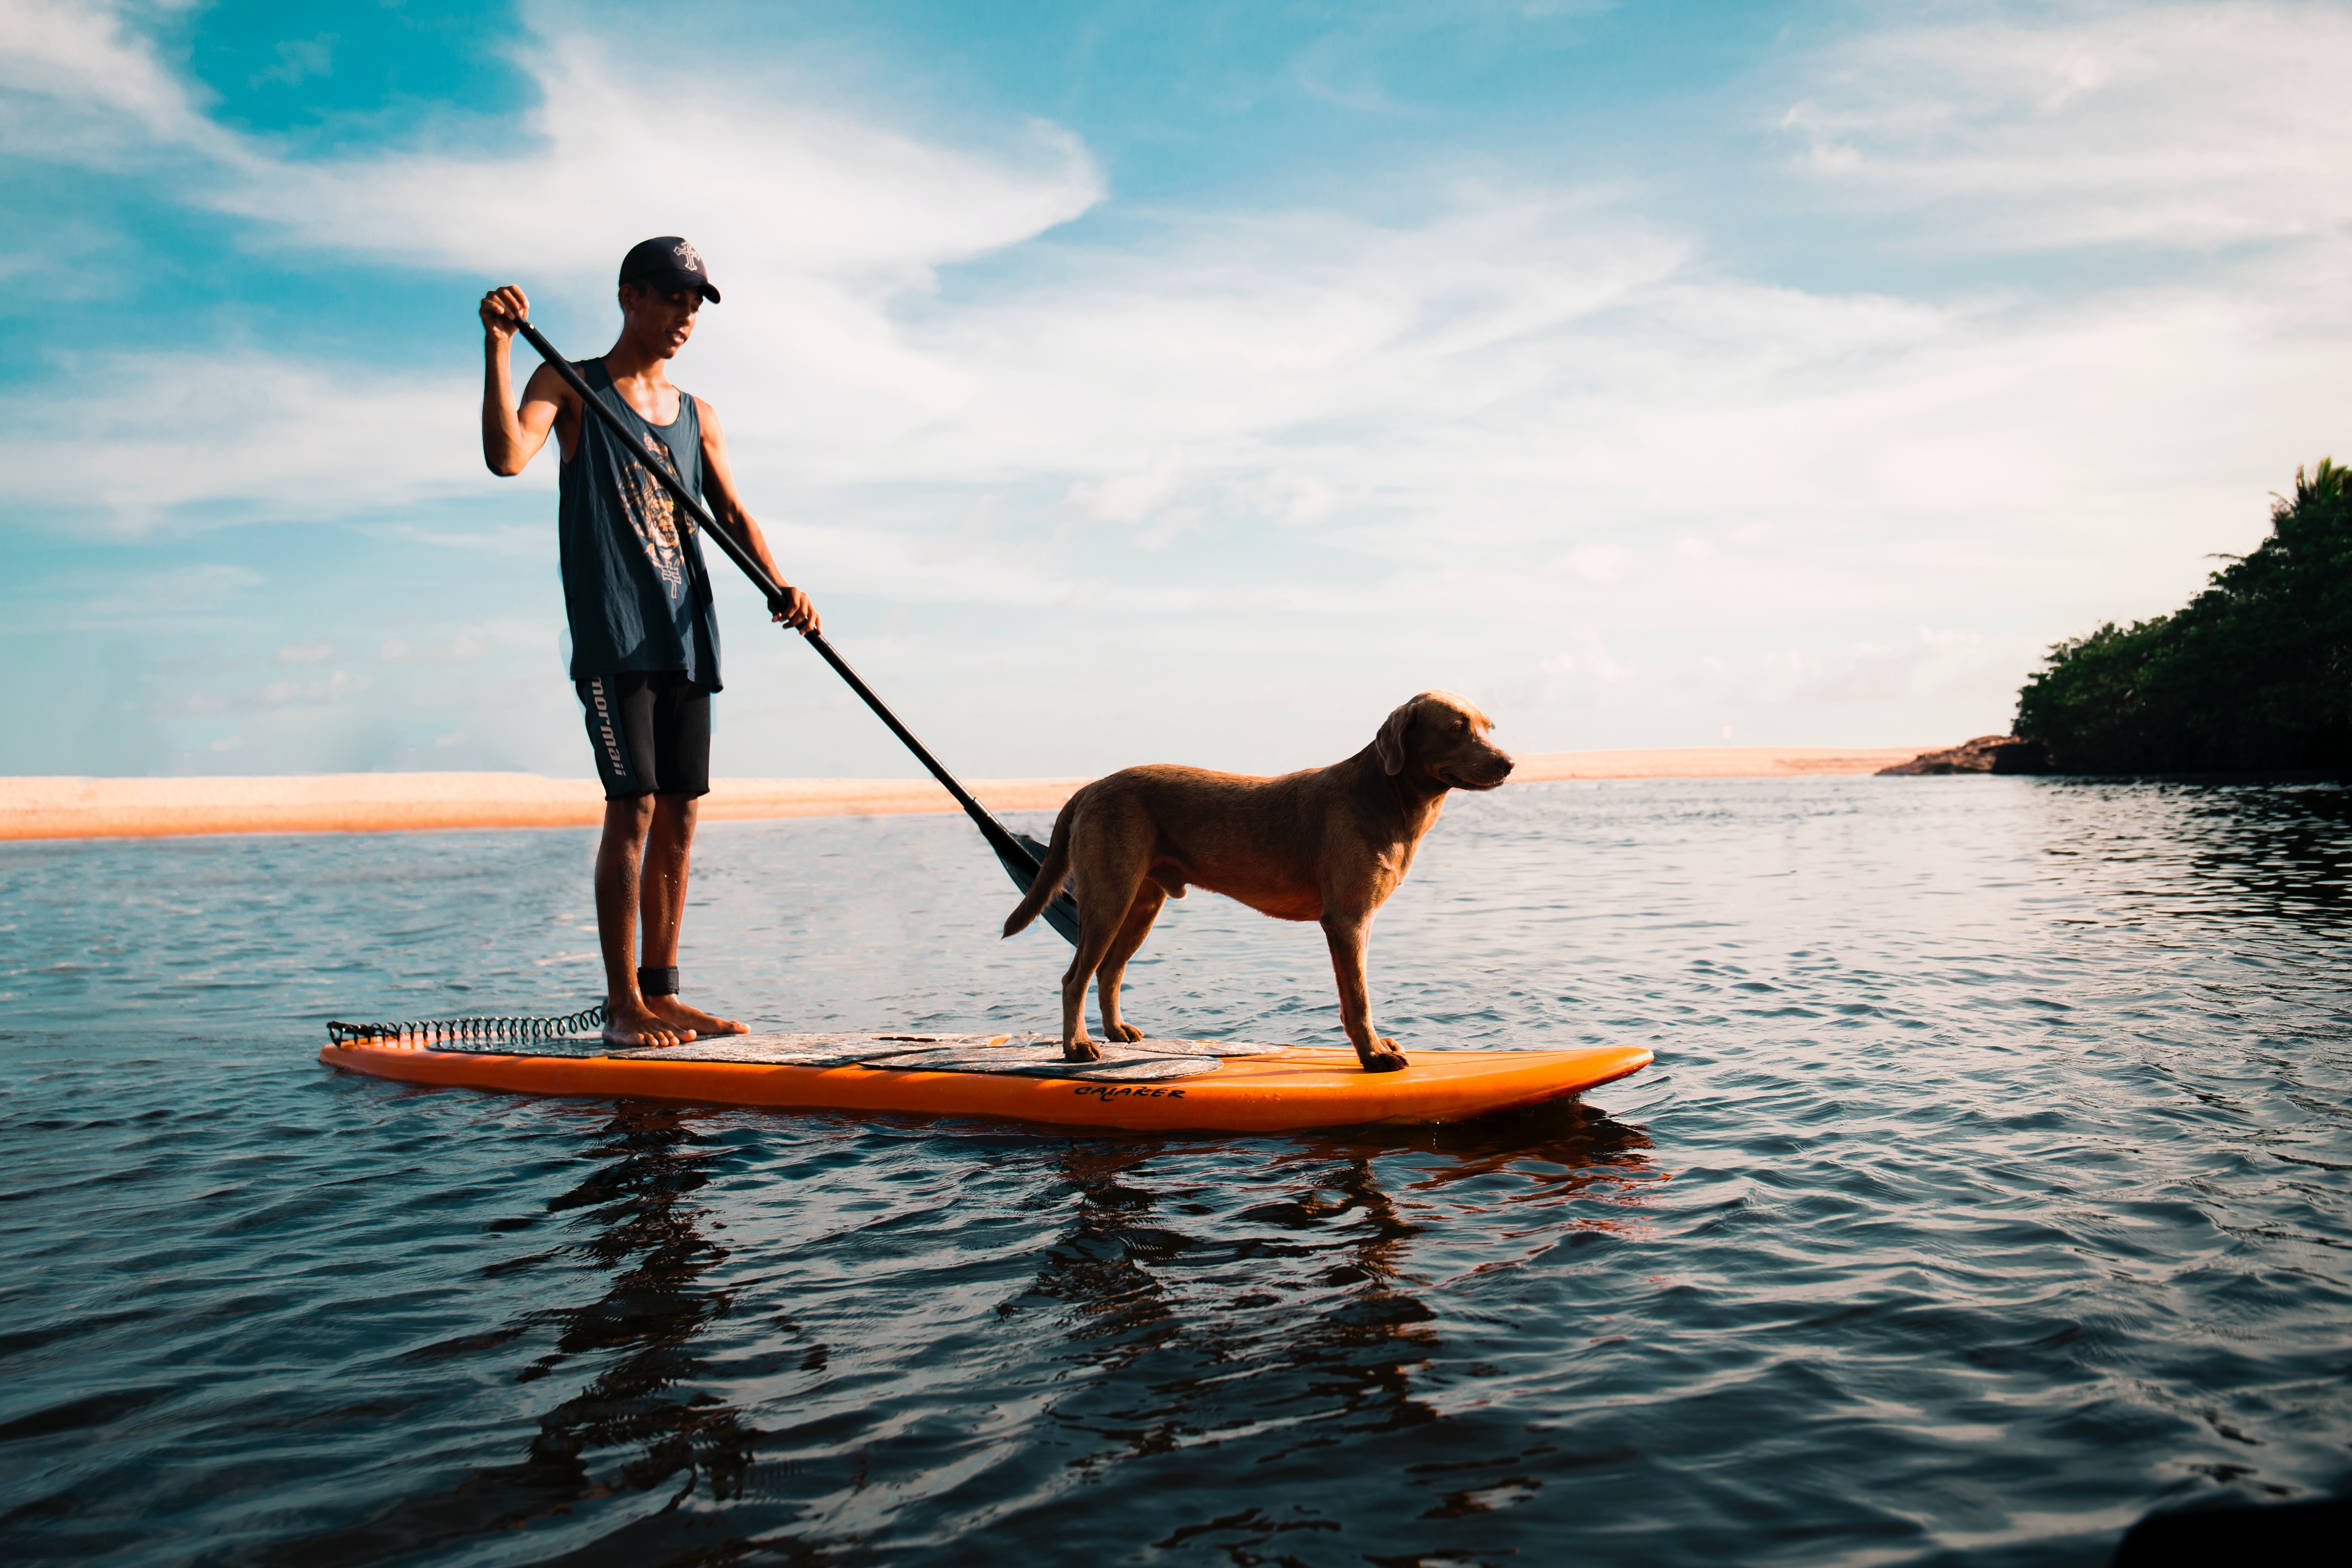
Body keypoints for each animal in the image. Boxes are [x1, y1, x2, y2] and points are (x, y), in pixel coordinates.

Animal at [1001, 691, 1514, 1072]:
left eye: (1488, 727)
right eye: (1456, 728)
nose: (1509, 763)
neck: (1387, 798)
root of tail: (1089, 788)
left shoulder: (1357, 921)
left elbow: (1357, 996)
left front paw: (1377, 1048)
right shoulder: (1347, 919)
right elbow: (1358, 999)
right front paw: (1373, 1056)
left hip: (1142, 903)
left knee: (1109, 971)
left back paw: (1116, 1032)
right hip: (1110, 897)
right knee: (1075, 978)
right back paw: (1077, 1047)